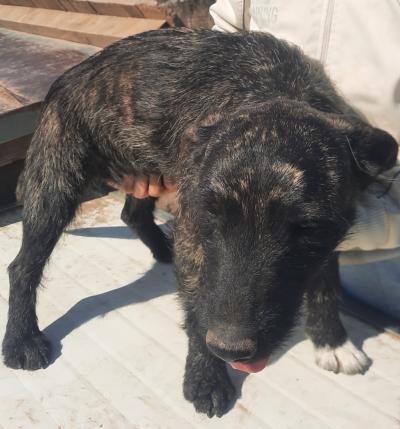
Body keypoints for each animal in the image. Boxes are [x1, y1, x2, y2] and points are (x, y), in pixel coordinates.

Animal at [2, 28, 397, 417]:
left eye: (307, 229)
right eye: (213, 218)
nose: (232, 350)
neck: (278, 87)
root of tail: (67, 78)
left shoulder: (331, 235)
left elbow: (325, 284)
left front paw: (332, 341)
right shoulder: (194, 231)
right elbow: (196, 309)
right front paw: (205, 375)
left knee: (133, 213)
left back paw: (162, 249)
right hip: (54, 189)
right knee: (22, 267)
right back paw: (21, 339)